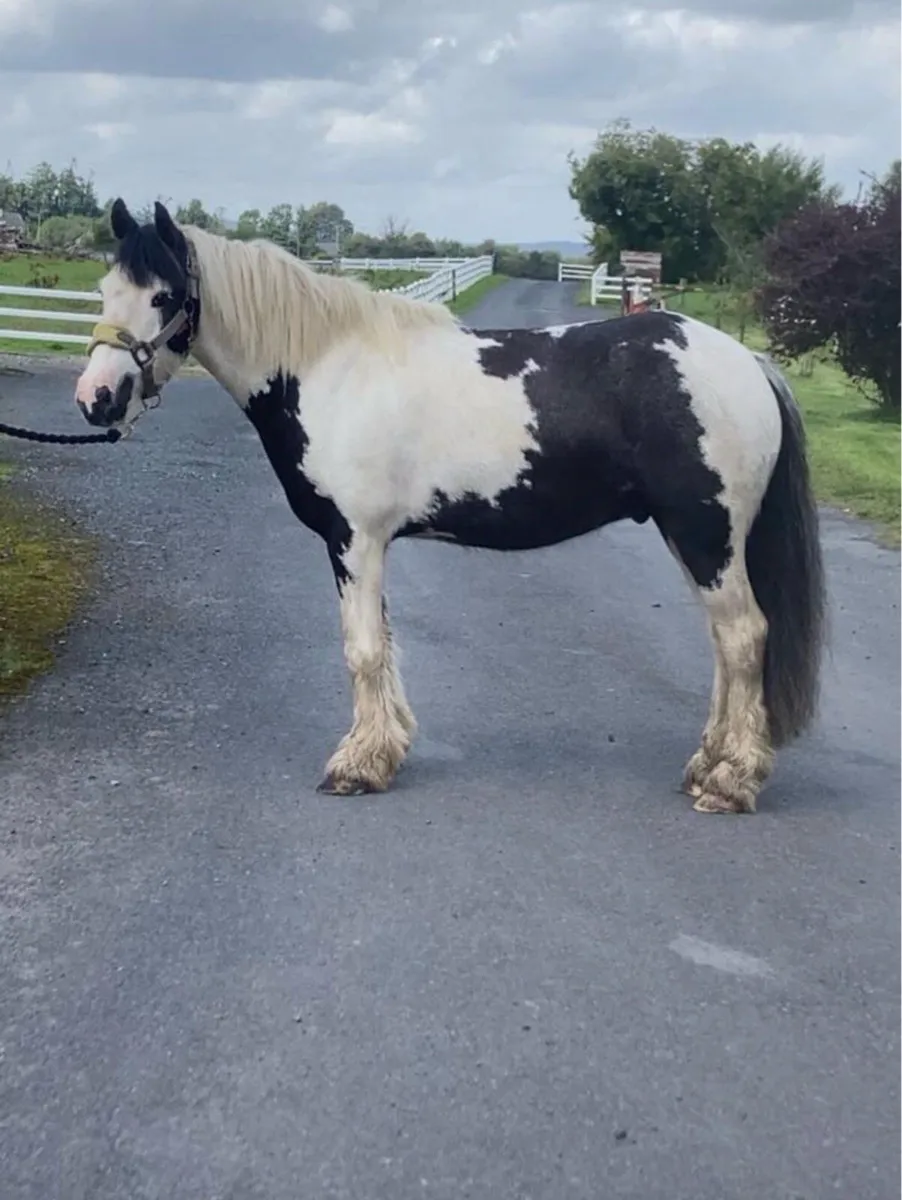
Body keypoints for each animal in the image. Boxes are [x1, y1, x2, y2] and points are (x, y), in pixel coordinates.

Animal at [74, 199, 826, 814]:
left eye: (163, 295)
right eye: (106, 290)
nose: (96, 399)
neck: (327, 370)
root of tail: (750, 364)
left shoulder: (353, 539)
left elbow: (363, 649)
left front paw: (355, 768)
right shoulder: (368, 543)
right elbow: (383, 645)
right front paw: (384, 751)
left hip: (707, 537)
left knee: (744, 638)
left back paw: (730, 781)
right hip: (695, 539)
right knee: (726, 646)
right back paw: (706, 765)